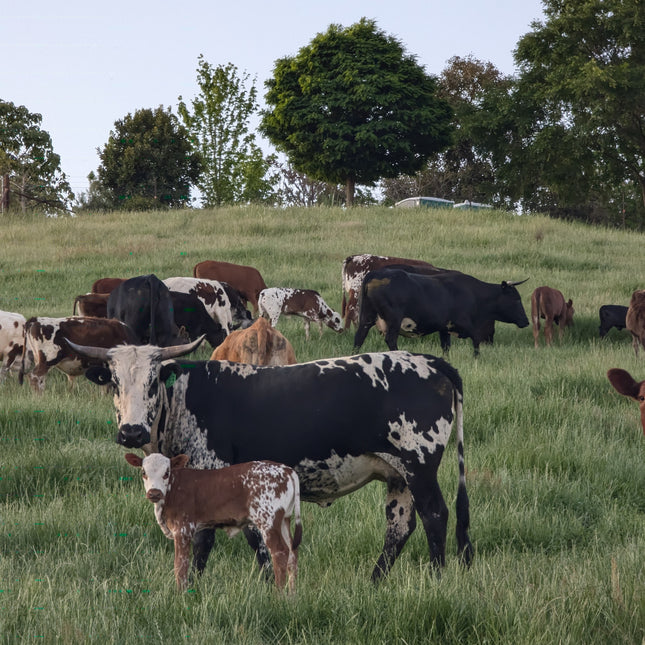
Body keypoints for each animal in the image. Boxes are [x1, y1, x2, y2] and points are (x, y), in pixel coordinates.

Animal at [125, 453, 302, 592]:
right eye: (143, 472)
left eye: (166, 473)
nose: (154, 493)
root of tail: (286, 470)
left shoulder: (183, 529)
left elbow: (180, 565)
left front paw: (180, 595)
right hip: (284, 520)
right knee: (292, 552)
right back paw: (292, 597)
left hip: (268, 520)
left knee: (280, 552)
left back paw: (279, 595)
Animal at [353, 268, 529, 356]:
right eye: (516, 299)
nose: (526, 321)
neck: (474, 294)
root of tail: (377, 273)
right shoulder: (465, 323)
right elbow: (476, 340)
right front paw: (476, 357)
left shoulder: (444, 329)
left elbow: (446, 347)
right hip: (394, 321)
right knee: (390, 339)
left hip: (366, 318)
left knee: (359, 338)